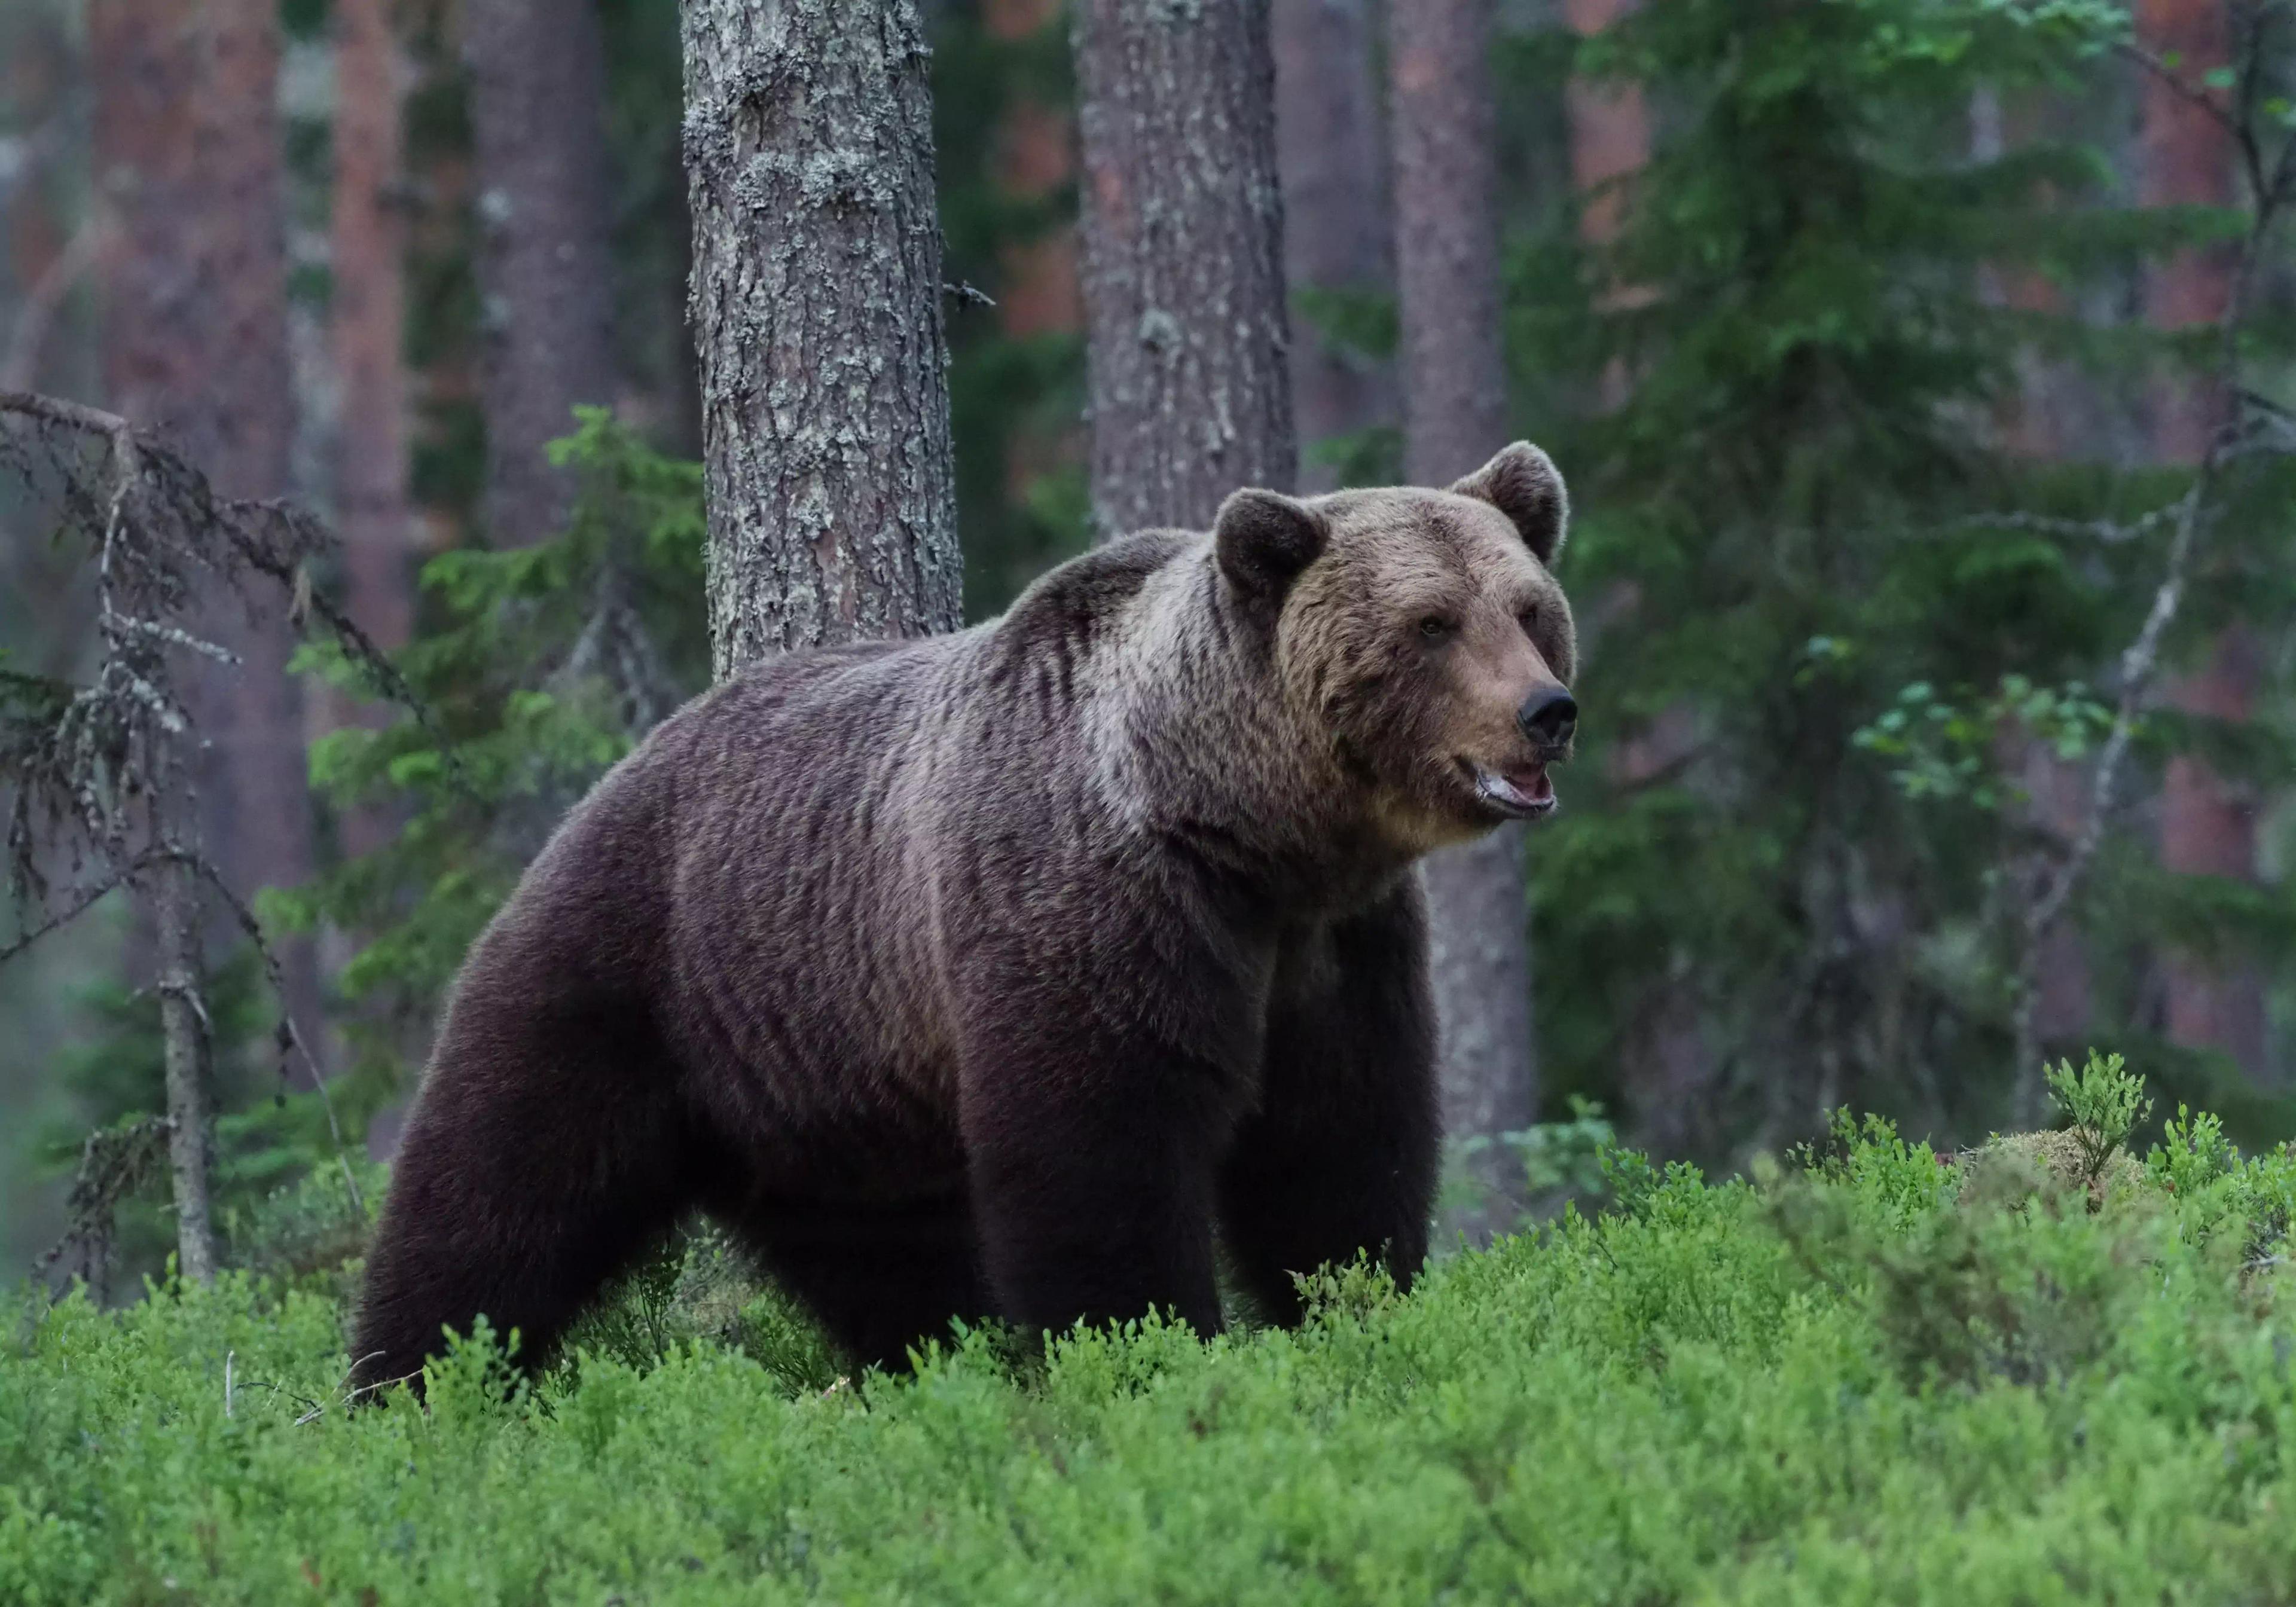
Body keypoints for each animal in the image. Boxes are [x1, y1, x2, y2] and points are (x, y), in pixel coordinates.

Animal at [349, 443, 1579, 1395]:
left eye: (1528, 609)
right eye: (1430, 623)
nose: (1547, 711)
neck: (1248, 831)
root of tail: (619, 768)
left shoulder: (1335, 949)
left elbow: (1338, 1147)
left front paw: (1355, 1305)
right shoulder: (1099, 908)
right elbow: (1102, 1157)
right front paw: (1147, 1348)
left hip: (821, 1084)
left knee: (888, 1258)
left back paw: (934, 1362)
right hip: (631, 970)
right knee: (497, 1190)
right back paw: (412, 1387)